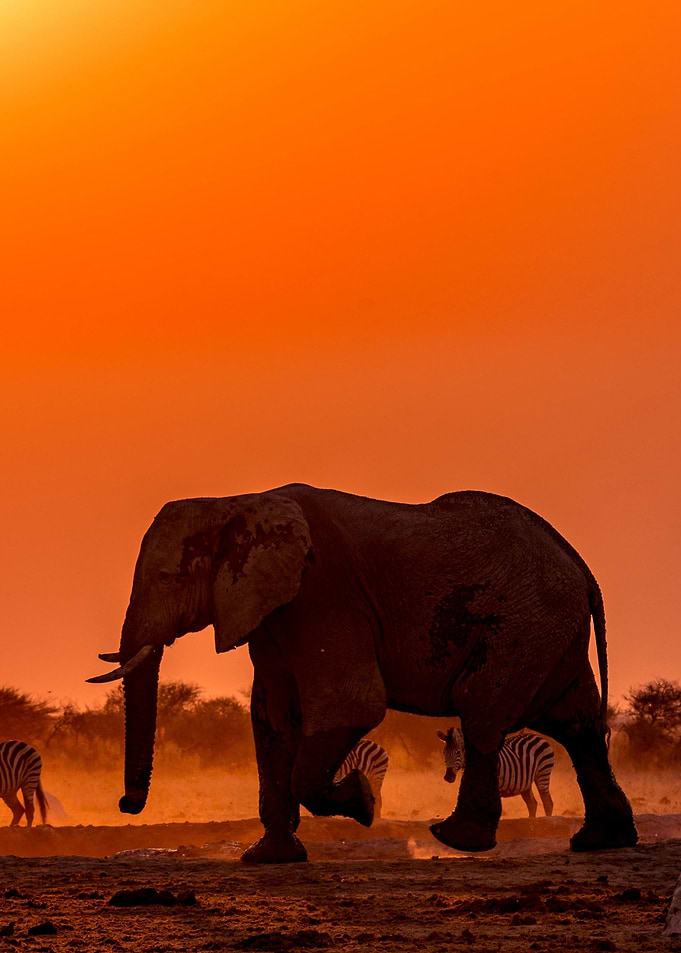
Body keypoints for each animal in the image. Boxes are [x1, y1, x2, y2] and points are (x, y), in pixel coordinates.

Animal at [87, 484, 637, 862]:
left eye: (166, 577)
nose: (126, 803)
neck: (236, 503)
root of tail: (580, 565)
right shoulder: (273, 611)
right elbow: (271, 720)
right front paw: (268, 859)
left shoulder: (323, 594)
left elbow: (352, 705)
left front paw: (365, 802)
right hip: (549, 630)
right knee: (578, 725)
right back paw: (601, 842)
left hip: (524, 622)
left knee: (482, 710)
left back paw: (456, 839)